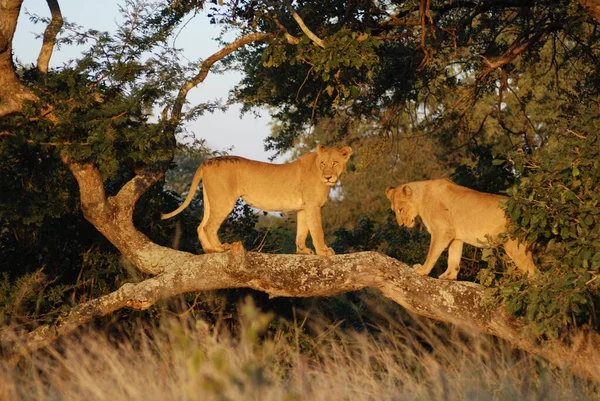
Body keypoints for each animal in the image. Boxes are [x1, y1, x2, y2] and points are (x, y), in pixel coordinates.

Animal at [162, 145, 354, 255]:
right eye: (323, 163)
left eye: (335, 162)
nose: (328, 176)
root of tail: (206, 161)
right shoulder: (313, 206)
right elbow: (317, 230)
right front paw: (323, 251)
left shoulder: (303, 207)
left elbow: (302, 231)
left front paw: (303, 251)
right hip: (224, 201)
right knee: (209, 226)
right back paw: (220, 248)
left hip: (211, 200)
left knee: (201, 225)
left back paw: (209, 250)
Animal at [386, 178, 536, 278]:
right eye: (393, 210)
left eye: (401, 209)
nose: (401, 225)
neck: (422, 196)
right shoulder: (455, 236)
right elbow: (453, 257)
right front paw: (448, 276)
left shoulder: (442, 230)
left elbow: (432, 253)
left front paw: (423, 270)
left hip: (515, 247)